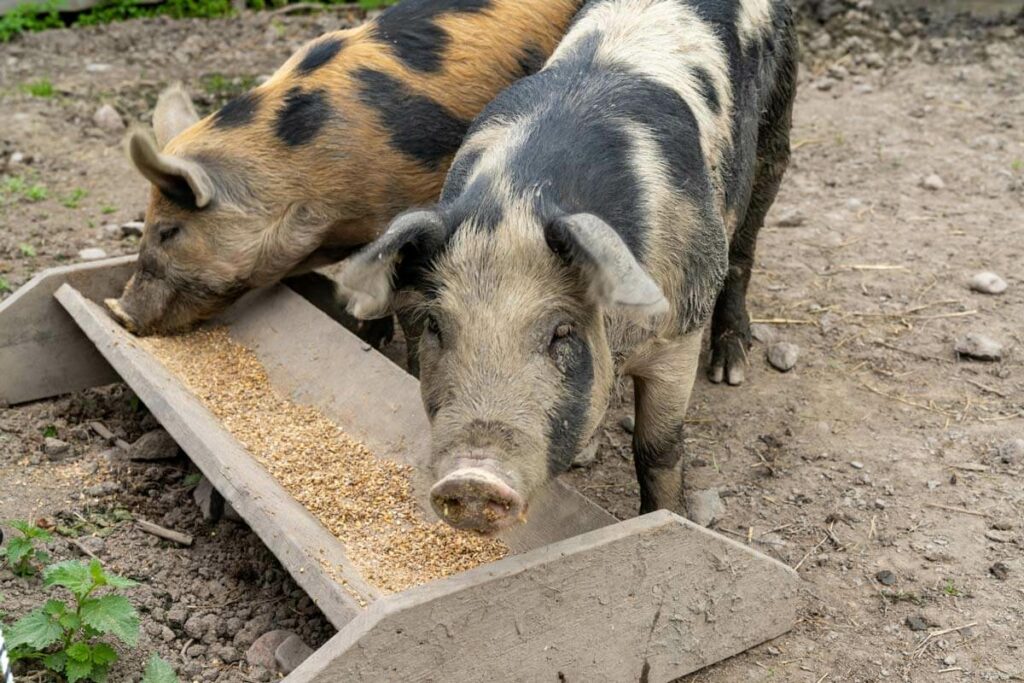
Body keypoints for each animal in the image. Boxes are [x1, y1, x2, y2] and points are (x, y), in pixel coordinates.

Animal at [339, 0, 794, 532]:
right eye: (435, 325)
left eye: (562, 331)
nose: (472, 479)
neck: (518, 200)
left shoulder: (679, 329)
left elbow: (656, 447)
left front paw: (666, 517)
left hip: (775, 132)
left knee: (744, 249)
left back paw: (729, 369)